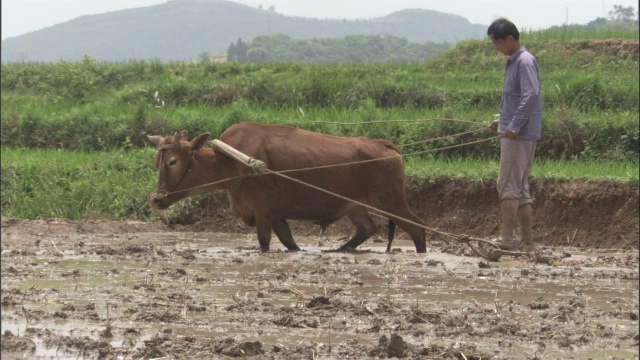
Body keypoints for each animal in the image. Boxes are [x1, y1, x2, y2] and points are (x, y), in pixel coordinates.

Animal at [146, 123, 424, 253]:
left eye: (173, 161)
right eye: (157, 161)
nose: (156, 199)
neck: (233, 162)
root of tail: (384, 145)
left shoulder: (263, 212)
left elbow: (264, 241)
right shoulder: (277, 215)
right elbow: (290, 243)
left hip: (392, 201)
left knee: (418, 227)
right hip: (355, 206)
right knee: (367, 228)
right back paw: (340, 249)